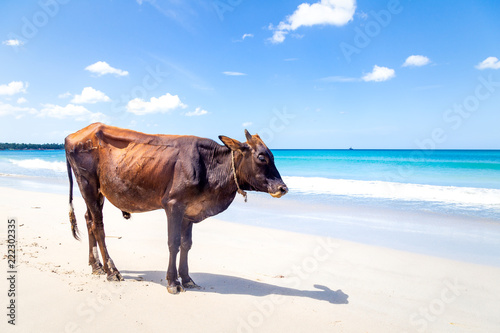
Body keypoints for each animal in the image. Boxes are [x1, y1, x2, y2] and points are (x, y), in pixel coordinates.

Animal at [64, 122, 288, 294]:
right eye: (261, 157)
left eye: (272, 156)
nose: (283, 188)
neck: (209, 167)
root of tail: (73, 135)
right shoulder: (173, 205)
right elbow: (173, 243)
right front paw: (173, 282)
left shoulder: (190, 212)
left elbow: (186, 244)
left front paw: (187, 279)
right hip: (88, 184)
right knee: (99, 227)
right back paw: (112, 271)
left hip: (98, 192)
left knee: (89, 220)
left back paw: (96, 266)